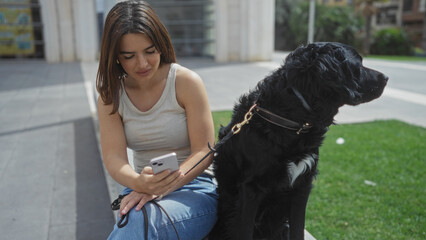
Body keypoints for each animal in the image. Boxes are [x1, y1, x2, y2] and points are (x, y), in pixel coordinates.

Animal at [208, 43, 388, 240]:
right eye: (358, 65)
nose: (386, 78)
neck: (292, 121)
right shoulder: (250, 189)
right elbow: (245, 230)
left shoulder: (302, 186)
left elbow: (298, 230)